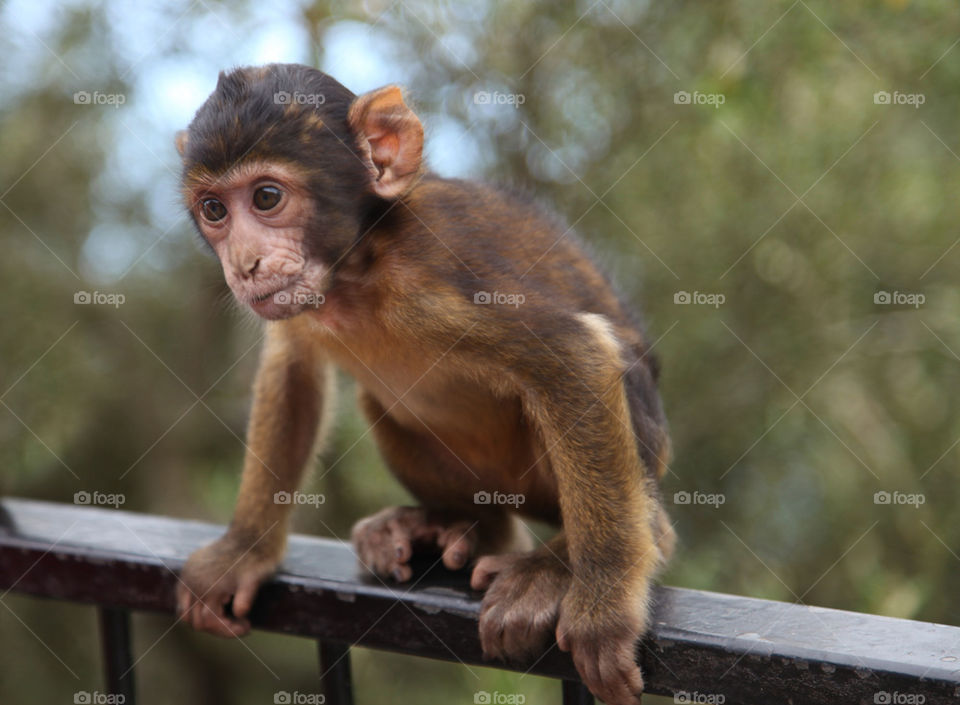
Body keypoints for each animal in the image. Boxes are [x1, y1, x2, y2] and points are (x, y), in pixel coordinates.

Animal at [178, 63, 676, 700]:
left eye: (267, 197)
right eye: (214, 210)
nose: (244, 265)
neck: (357, 267)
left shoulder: (431, 279)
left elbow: (576, 355)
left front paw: (604, 610)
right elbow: (293, 368)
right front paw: (244, 550)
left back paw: (559, 564)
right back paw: (463, 527)